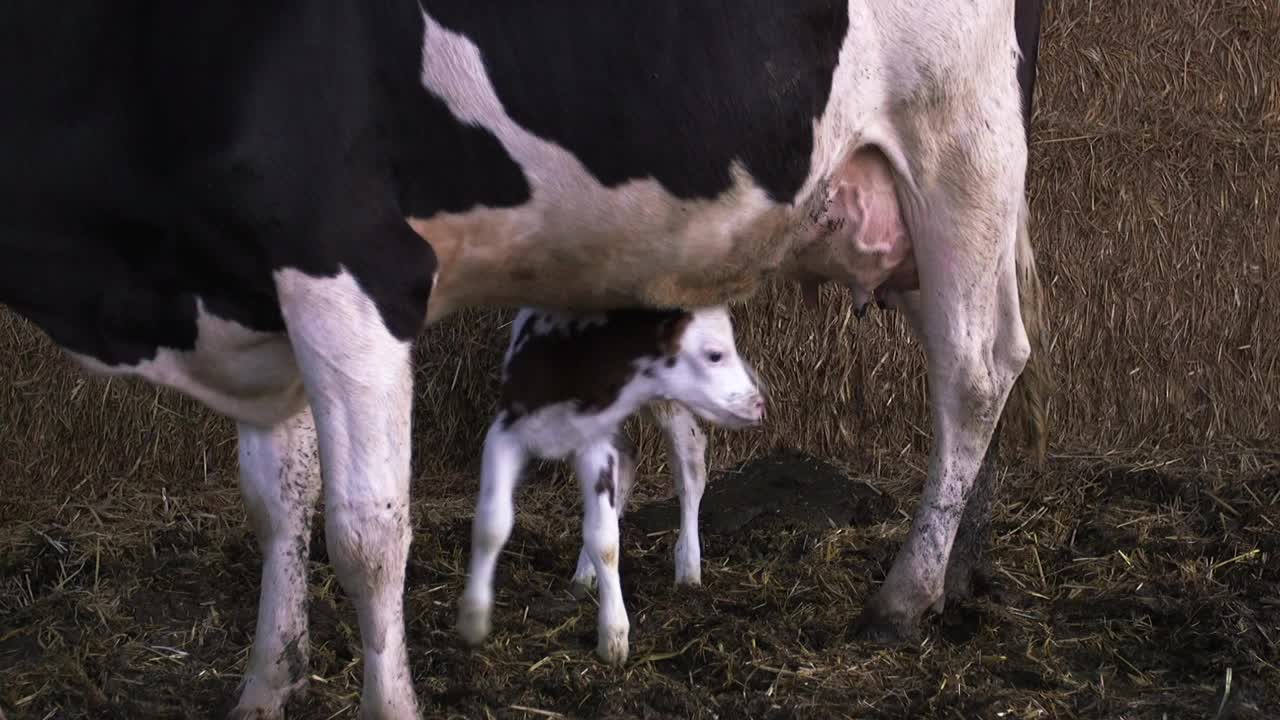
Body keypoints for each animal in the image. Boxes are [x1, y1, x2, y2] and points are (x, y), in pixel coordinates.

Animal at [0, 1, 1039, 717]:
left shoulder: (354, 268)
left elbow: (366, 532)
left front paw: (388, 701)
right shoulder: (266, 293)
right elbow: (276, 502)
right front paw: (268, 681)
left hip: (963, 153)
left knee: (975, 371)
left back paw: (904, 597)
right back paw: (953, 575)